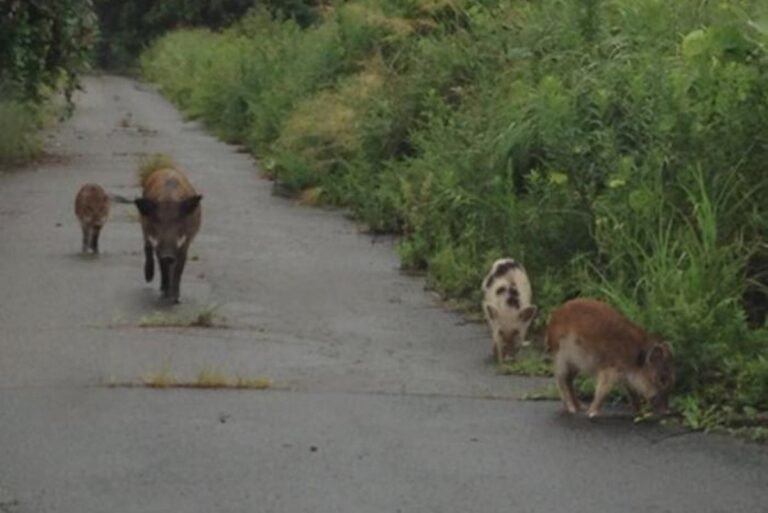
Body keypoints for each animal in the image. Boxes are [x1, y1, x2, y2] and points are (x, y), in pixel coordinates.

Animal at [134, 167, 202, 303]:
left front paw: (175, 299)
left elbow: (179, 266)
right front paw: (165, 294)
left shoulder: (186, 241)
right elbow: (162, 264)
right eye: (156, 220)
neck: (168, 199)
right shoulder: (155, 239)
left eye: (179, 219)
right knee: (147, 247)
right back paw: (150, 279)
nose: (167, 254)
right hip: (143, 225)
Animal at [546, 298, 675, 418]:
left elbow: (632, 393)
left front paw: (640, 412)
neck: (636, 359)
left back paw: (580, 407)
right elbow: (602, 391)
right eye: (662, 379)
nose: (668, 412)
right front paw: (592, 413)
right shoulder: (609, 371)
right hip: (562, 358)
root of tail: (553, 319)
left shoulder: (626, 378)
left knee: (569, 380)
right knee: (560, 379)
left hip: (575, 364)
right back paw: (572, 409)